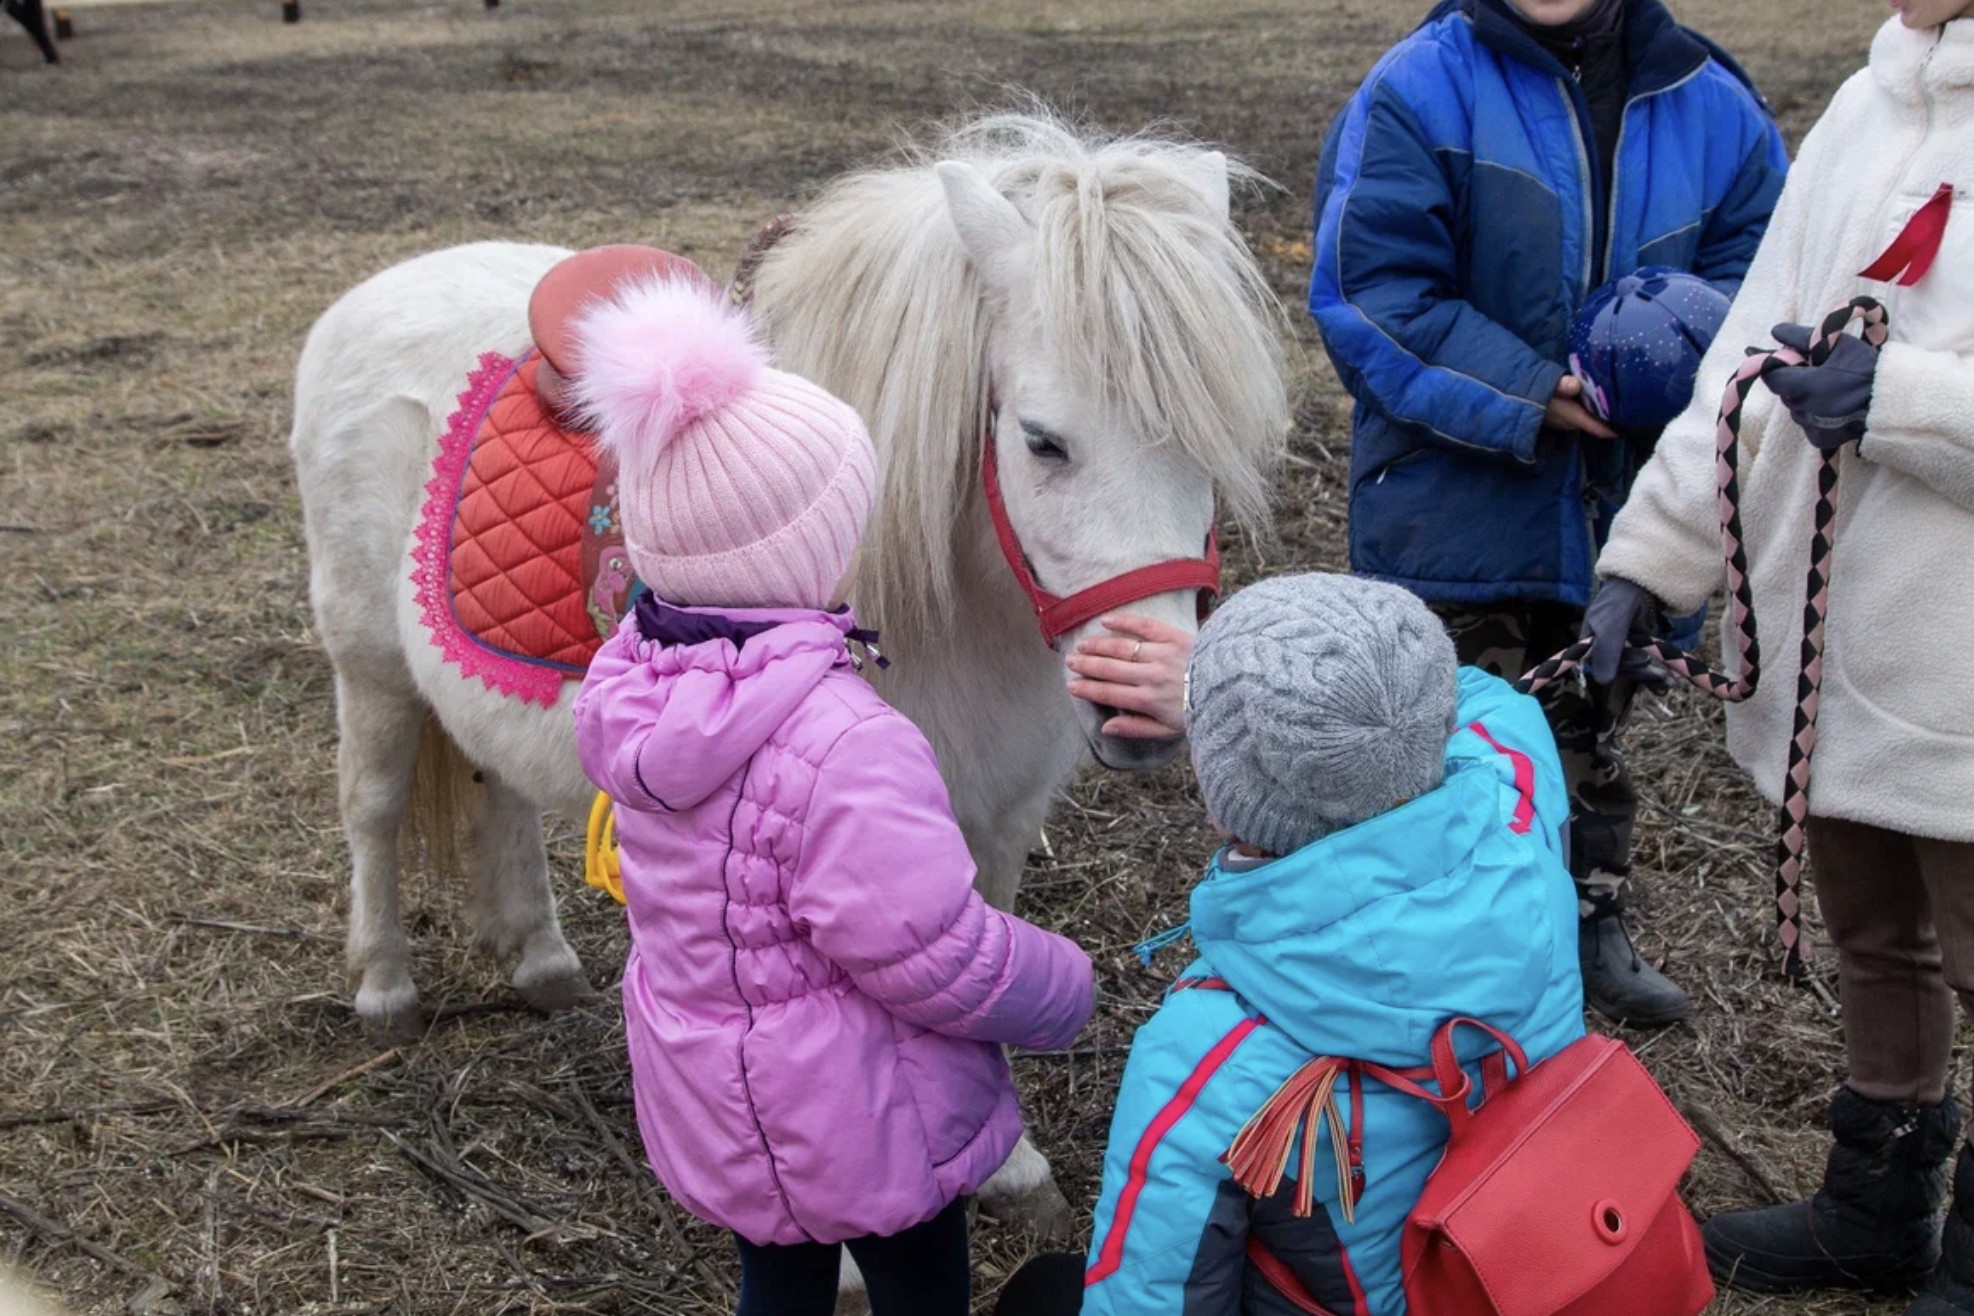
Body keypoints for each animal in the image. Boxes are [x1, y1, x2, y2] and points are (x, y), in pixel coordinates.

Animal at [286, 113, 1287, 1239]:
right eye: (1043, 440)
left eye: (1214, 445)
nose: (1140, 711)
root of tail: (378, 290)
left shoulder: (984, 824)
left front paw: (1008, 1167)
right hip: (369, 664)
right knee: (372, 809)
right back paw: (384, 987)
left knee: (493, 790)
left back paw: (540, 960)